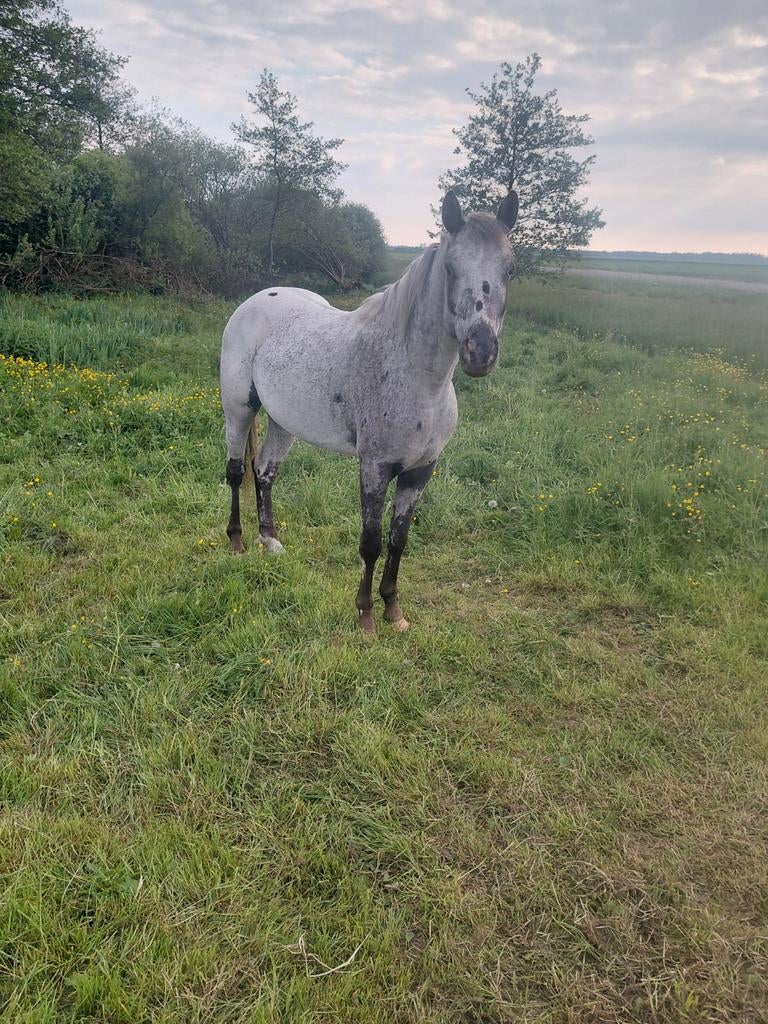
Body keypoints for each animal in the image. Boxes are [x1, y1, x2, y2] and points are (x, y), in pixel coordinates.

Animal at [220, 189, 519, 633]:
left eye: (510, 269)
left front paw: (394, 610)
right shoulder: (375, 467)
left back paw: (270, 541)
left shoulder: (419, 472)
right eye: (450, 268)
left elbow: (398, 541)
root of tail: (255, 301)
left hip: (283, 422)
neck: (417, 380)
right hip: (239, 410)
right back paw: (238, 542)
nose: (480, 352)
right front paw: (365, 616)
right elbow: (371, 543)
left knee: (265, 472)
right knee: (237, 472)